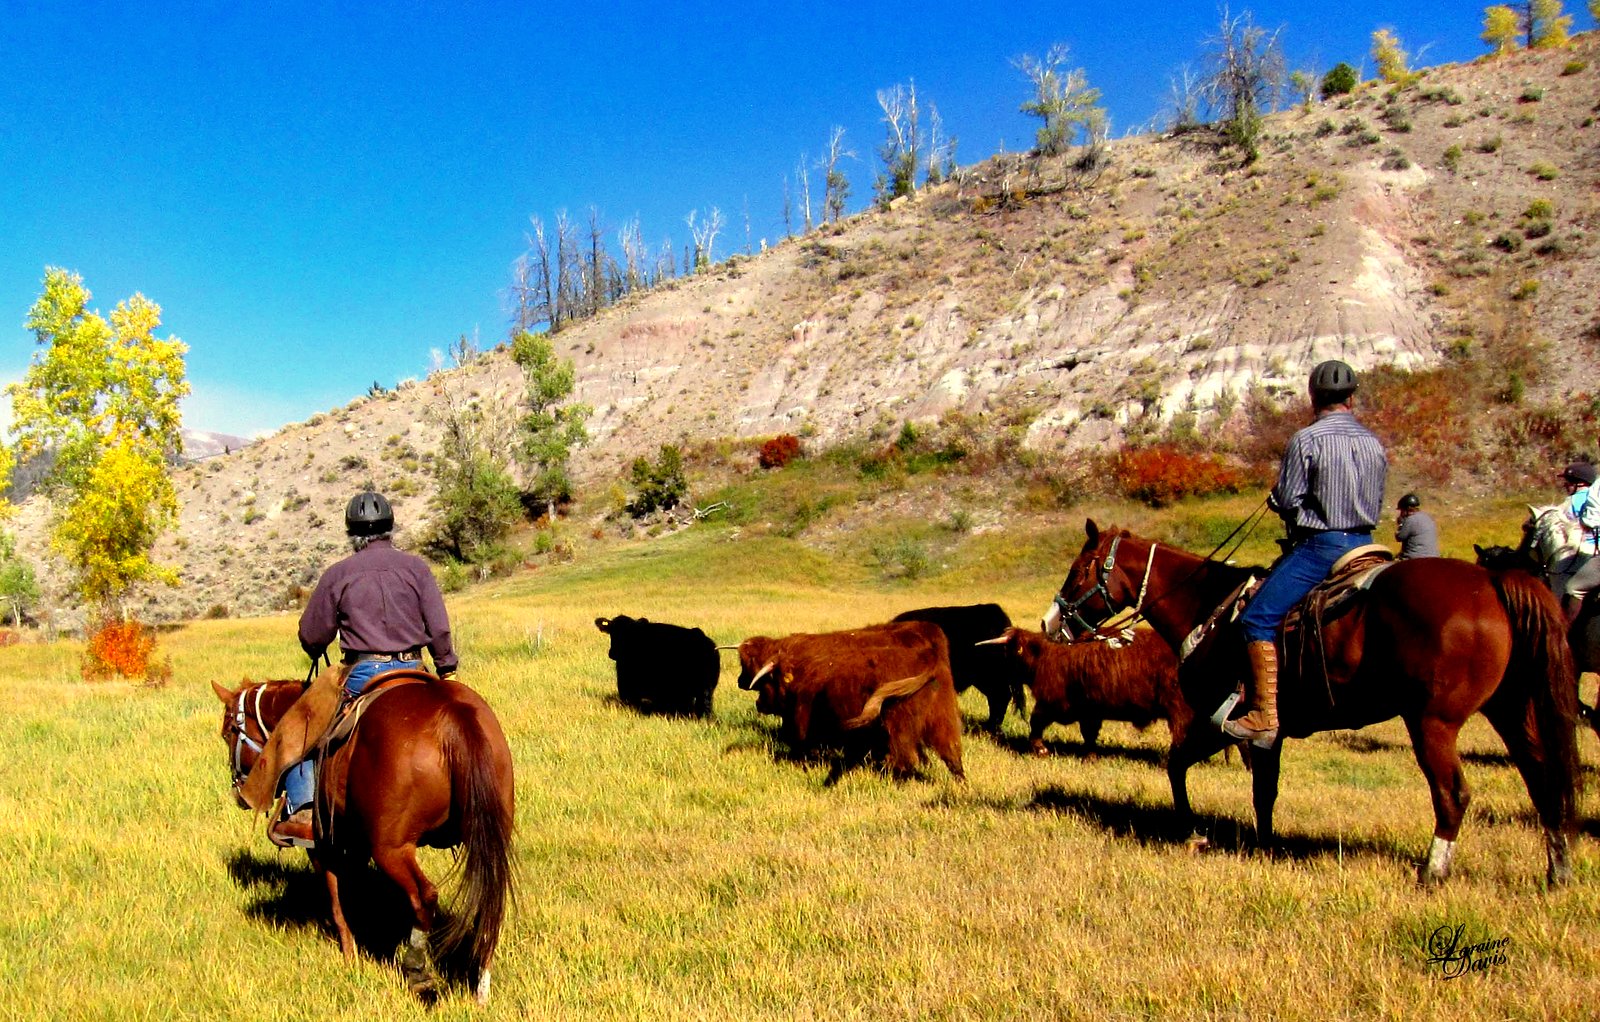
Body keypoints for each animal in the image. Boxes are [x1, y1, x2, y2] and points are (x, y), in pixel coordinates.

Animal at [736, 620, 964, 782]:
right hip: (942, 719)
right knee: (951, 751)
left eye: (767, 681)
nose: (758, 704)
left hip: (900, 726)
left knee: (905, 758)